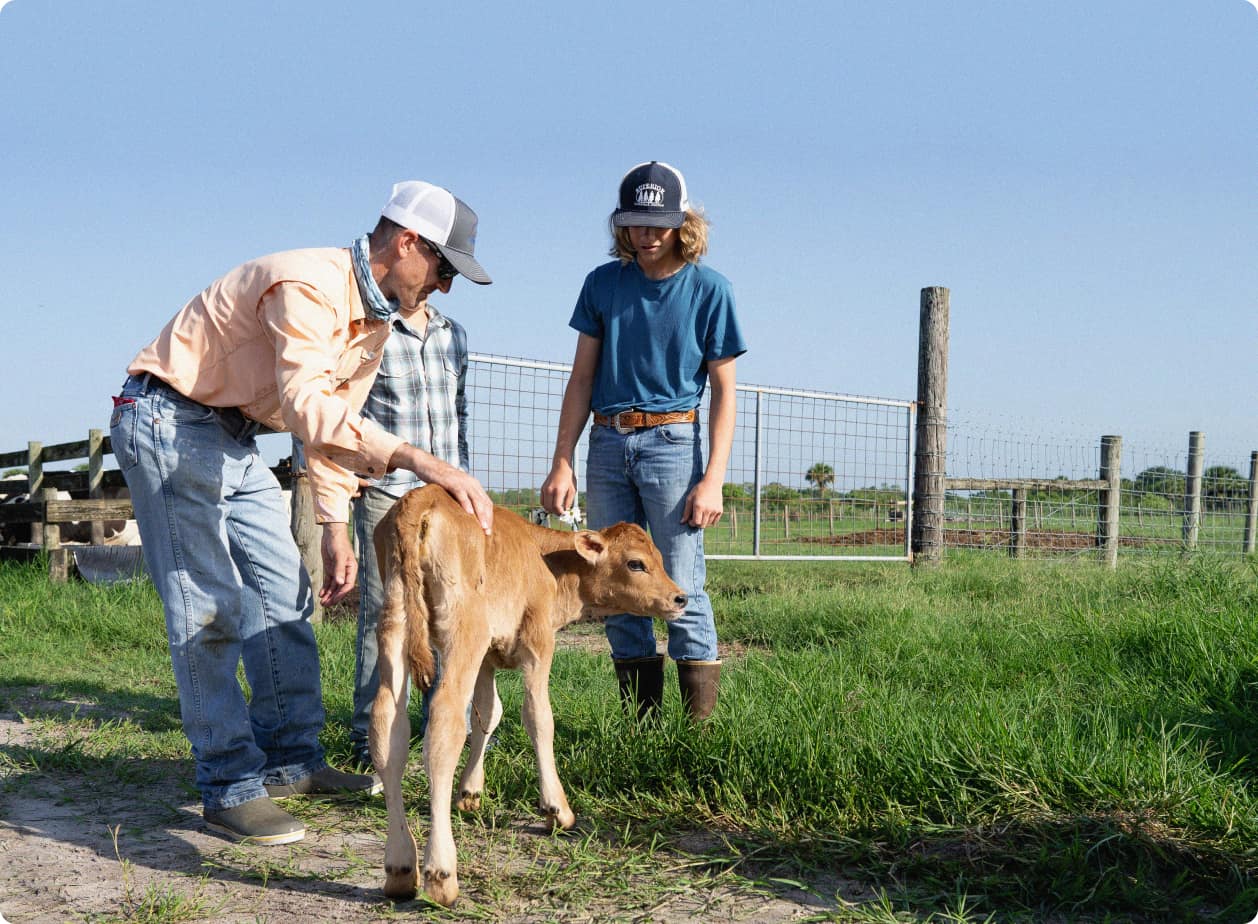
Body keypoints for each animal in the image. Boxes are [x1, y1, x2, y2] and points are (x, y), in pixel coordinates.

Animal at [367, 488, 689, 906]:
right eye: (636, 563)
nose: (680, 598)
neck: (548, 562)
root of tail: (423, 497)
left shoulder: (487, 657)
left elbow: (487, 714)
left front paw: (470, 791)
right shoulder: (538, 643)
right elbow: (539, 717)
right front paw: (556, 809)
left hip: (395, 624)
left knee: (388, 729)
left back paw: (401, 866)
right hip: (462, 632)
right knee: (443, 723)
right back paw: (441, 873)